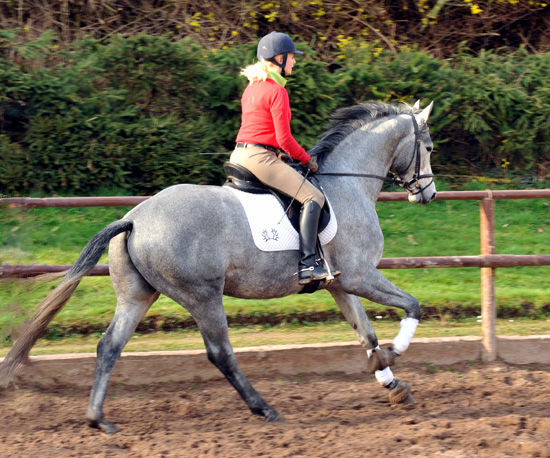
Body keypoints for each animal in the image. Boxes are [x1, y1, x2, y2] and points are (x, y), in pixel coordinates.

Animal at [0, 99, 440, 432]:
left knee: (110, 346)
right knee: (220, 353)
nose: (428, 194)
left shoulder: (339, 284)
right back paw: (265, 409)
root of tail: (135, 218)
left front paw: (391, 381)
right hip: (204, 296)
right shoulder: (362, 276)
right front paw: (396, 352)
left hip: (138, 296)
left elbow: (366, 334)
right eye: (430, 148)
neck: (347, 184)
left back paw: (98, 420)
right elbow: (413, 306)